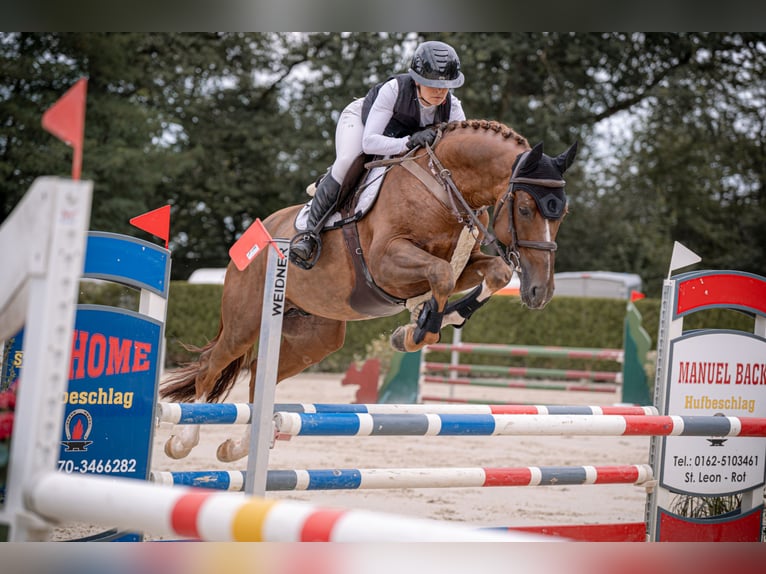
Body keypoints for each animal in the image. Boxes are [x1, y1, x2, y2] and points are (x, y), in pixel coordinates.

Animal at [165, 119, 580, 462]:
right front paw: (417, 331)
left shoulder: (468, 263)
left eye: (562, 214)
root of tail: (257, 234)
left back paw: (238, 447)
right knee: (212, 366)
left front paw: (433, 320)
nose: (540, 291)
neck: (445, 188)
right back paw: (183, 442)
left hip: (315, 337)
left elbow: (493, 273)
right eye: (525, 209)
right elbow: (441, 274)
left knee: (257, 376)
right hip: (246, 320)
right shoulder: (386, 263)